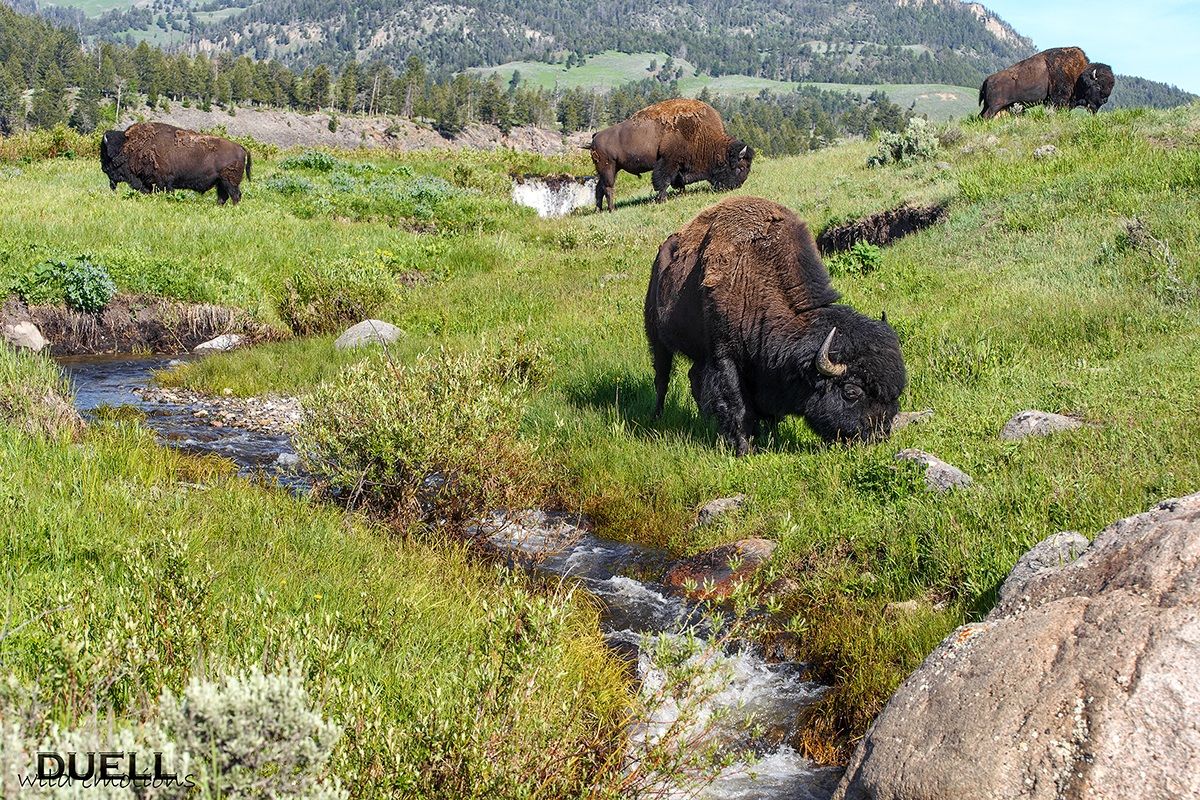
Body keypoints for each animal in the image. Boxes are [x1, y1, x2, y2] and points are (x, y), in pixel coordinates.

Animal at [100, 122, 251, 205]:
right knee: (223, 197)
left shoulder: (163, 182)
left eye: (106, 154)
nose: (103, 168)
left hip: (229, 182)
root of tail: (240, 148)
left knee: (235, 195)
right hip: (221, 182)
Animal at [587, 99, 753, 212]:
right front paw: (662, 199)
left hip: (609, 169)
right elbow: (664, 181)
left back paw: (599, 210)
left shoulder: (679, 166)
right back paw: (612, 209)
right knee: (608, 188)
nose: (737, 186)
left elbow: (678, 181)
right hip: (608, 168)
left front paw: (681, 194)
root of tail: (596, 136)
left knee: (599, 188)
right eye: (740, 168)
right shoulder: (668, 162)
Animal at [644, 196, 907, 454]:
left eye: (896, 392)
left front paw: (769, 436)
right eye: (851, 392)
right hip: (656, 337)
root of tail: (662, 254)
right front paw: (744, 449)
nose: (878, 436)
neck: (755, 280)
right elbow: (736, 404)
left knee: (694, 377)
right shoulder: (725, 356)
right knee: (662, 378)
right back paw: (657, 418)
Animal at [979, 47, 1114, 119]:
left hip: (991, 106)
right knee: (986, 116)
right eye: (1097, 86)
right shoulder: (1057, 100)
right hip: (995, 106)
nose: (1104, 100)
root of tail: (987, 80)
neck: (1078, 75)